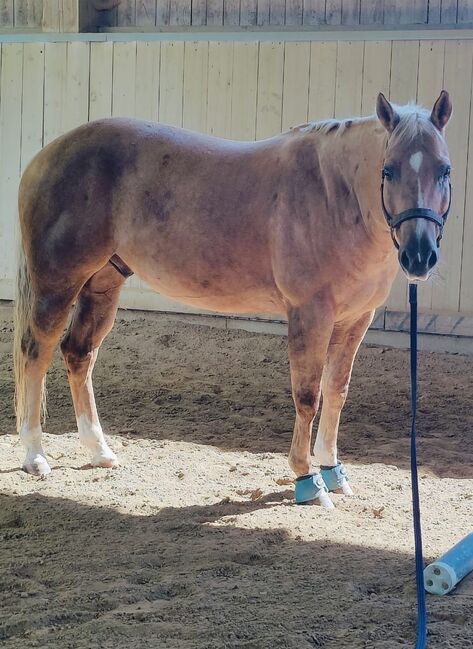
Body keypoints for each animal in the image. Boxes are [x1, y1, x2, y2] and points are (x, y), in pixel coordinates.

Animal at [13, 91, 450, 506]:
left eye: (444, 170)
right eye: (388, 170)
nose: (419, 255)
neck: (334, 197)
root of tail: (44, 157)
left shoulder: (356, 319)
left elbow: (336, 392)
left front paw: (333, 471)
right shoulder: (310, 315)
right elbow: (307, 396)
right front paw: (307, 480)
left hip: (103, 283)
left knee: (78, 353)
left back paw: (99, 451)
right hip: (57, 284)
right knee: (36, 353)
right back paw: (35, 456)